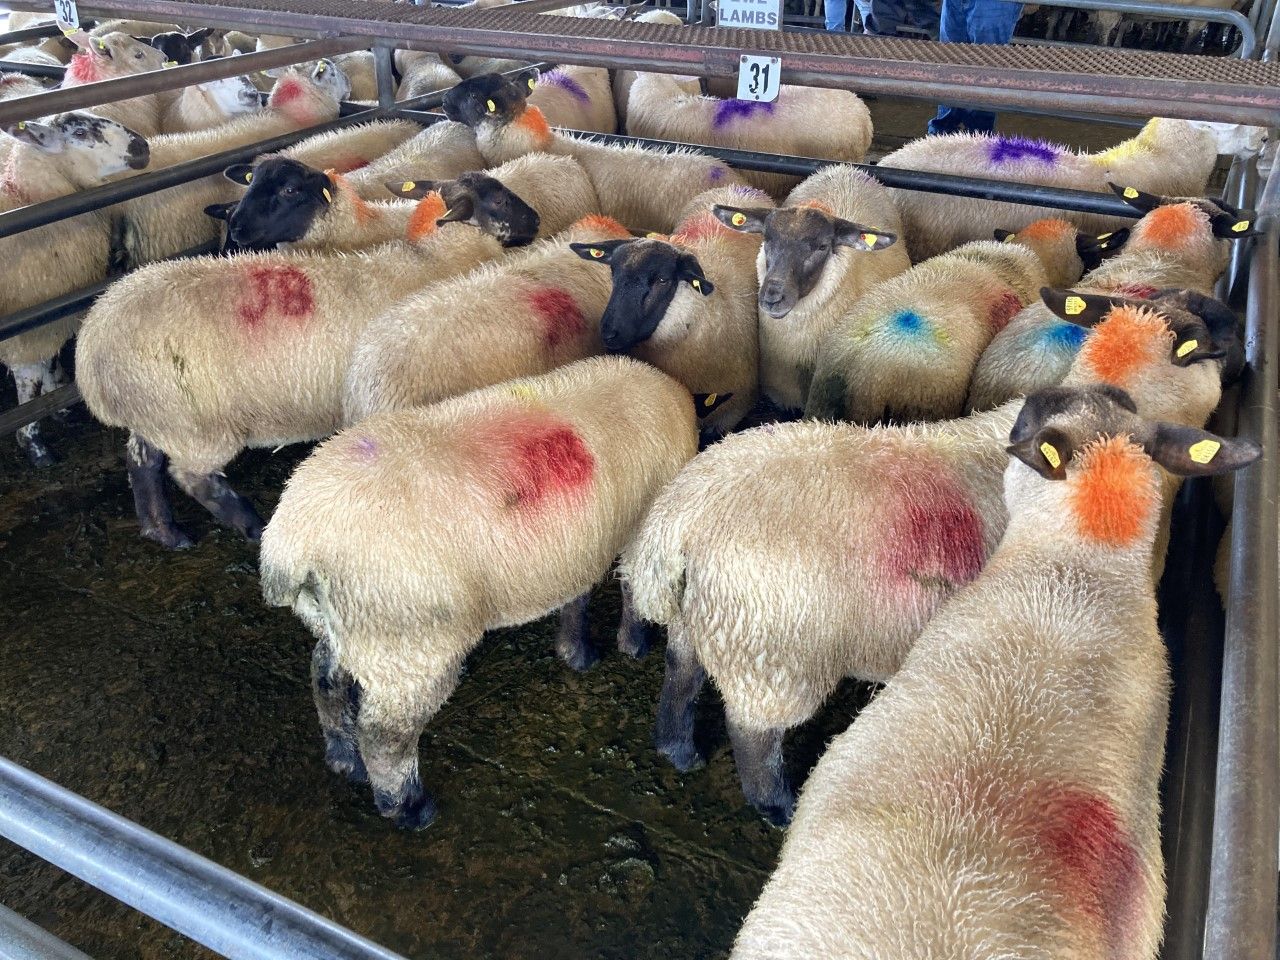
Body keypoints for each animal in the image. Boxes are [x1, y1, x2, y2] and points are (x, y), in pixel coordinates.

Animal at [0, 114, 149, 465]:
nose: (143, 146)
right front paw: (33, 443)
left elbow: (50, 362)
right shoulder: (29, 325)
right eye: (80, 133)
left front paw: (59, 404)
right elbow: (30, 376)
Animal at [77, 182, 536, 549]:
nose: (536, 219)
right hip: (195, 427)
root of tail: (91, 347)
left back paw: (164, 532)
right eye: (498, 198)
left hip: (155, 414)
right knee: (192, 477)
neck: (432, 259)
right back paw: (250, 525)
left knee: (142, 463)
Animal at [261, 355, 699, 829]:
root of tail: (291, 542)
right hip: (409, 642)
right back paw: (409, 808)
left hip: (354, 628)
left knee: (325, 677)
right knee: (385, 737)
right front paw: (634, 646)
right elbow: (633, 590)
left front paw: (576, 653)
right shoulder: (641, 528)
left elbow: (577, 596)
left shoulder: (574, 545)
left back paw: (343, 759)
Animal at [623, 289, 1240, 823]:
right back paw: (776, 805)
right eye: (1212, 339)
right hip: (772, 651)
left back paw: (678, 750)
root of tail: (677, 522)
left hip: (703, 622)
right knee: (754, 736)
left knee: (680, 679)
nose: (1243, 347)